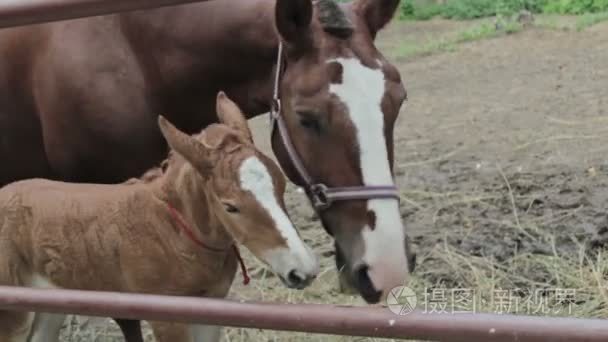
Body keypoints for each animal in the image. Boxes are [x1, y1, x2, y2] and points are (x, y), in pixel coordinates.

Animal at [0, 91, 320, 342]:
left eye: (281, 185)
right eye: (230, 206)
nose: (302, 270)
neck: (173, 232)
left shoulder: (212, 308)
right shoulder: (167, 316)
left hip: (50, 304)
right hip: (13, 314)